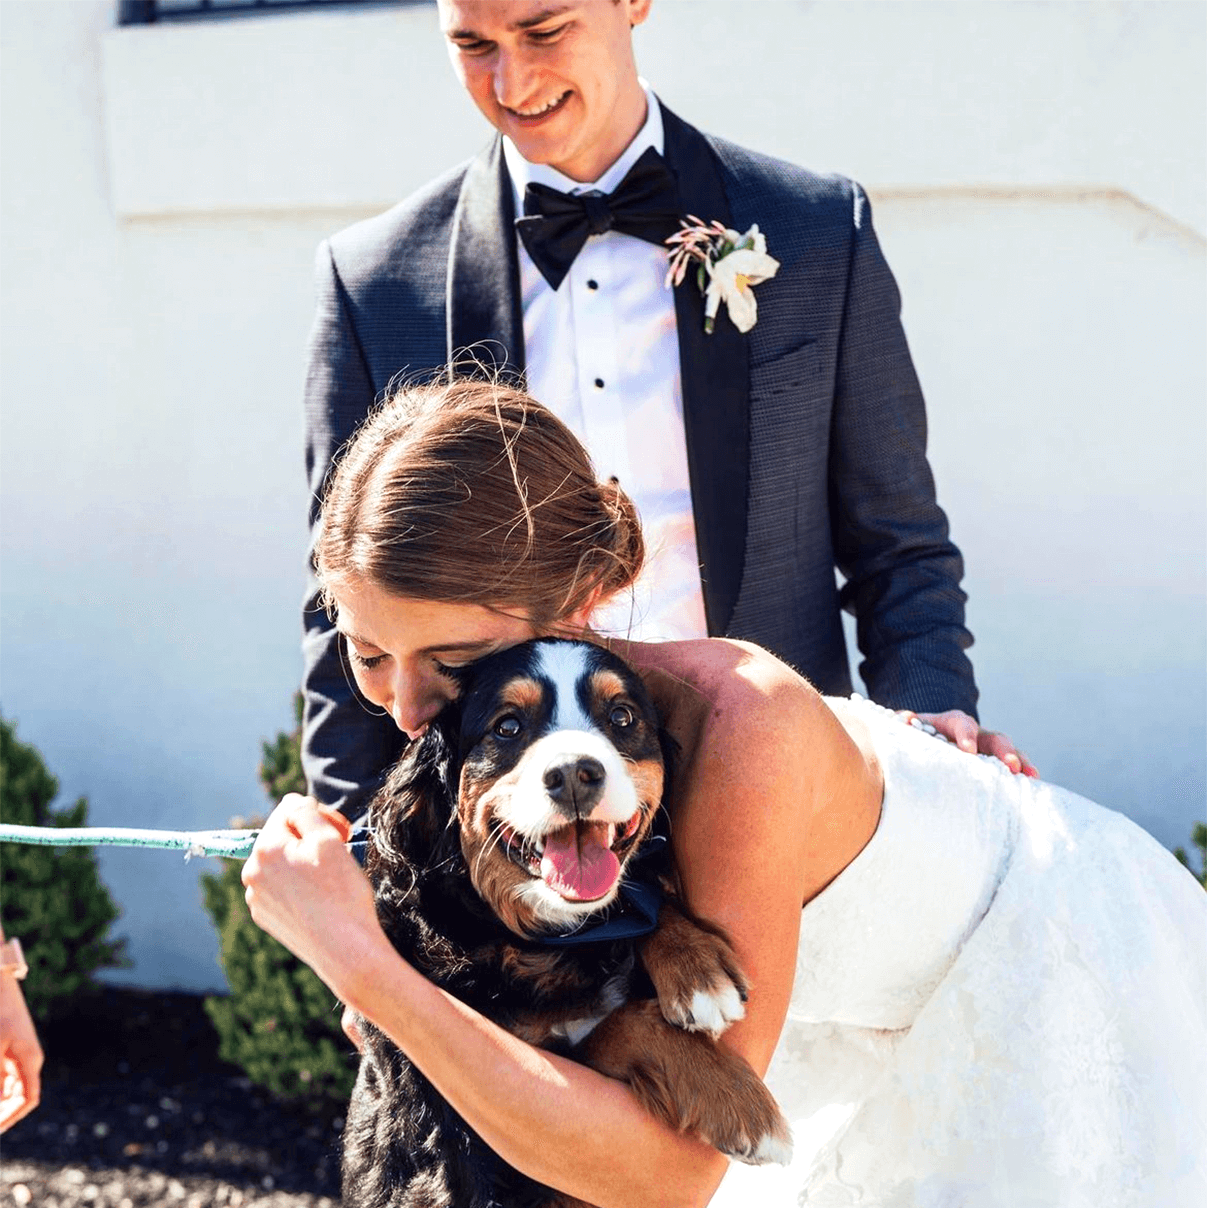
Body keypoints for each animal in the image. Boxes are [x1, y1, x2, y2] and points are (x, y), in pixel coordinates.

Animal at [343, 637, 792, 1203]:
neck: (543, 943)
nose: (575, 773)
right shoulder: (465, 1123)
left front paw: (695, 968)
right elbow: (614, 1027)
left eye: (621, 716)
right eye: (508, 726)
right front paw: (739, 1101)